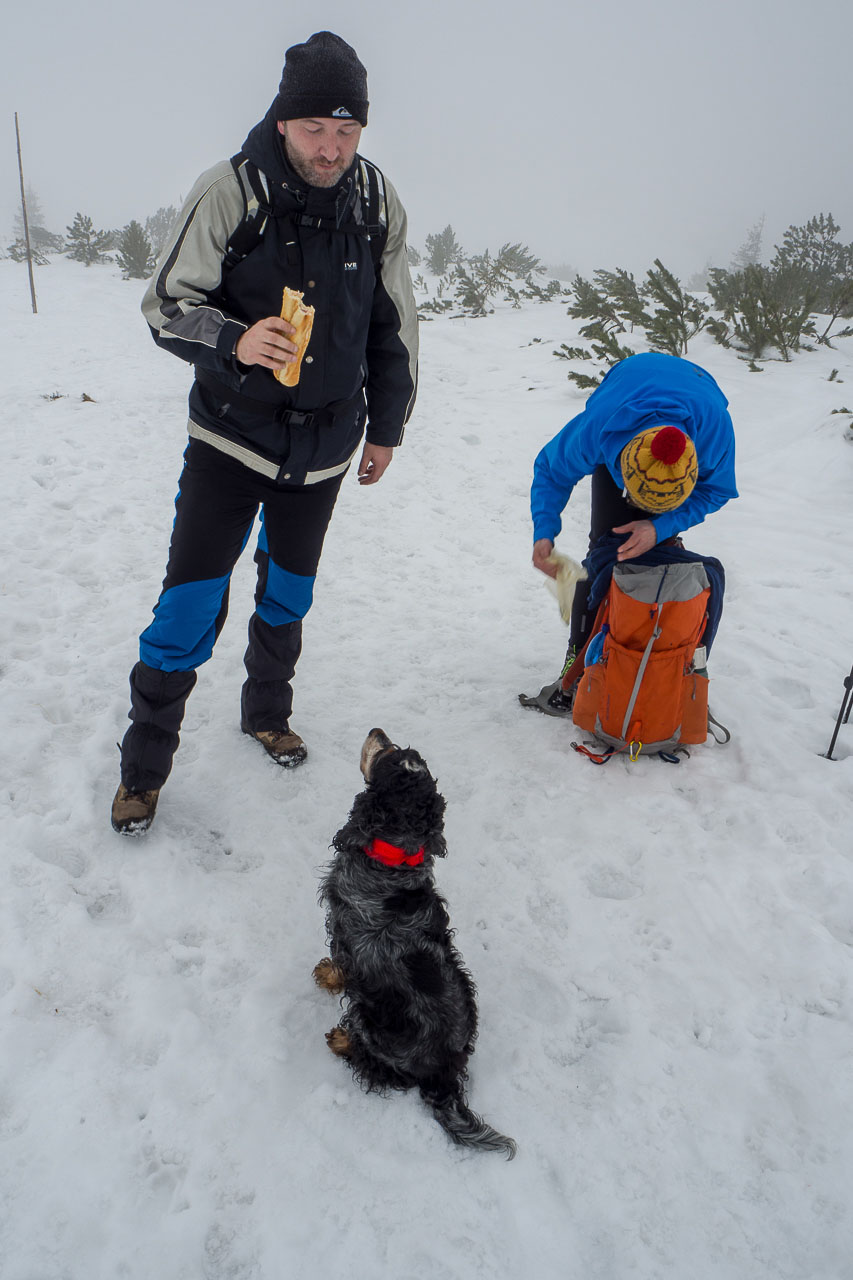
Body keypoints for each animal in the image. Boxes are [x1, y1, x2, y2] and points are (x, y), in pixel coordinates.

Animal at [312, 732, 512, 1162]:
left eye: (389, 757)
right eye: (405, 755)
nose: (378, 731)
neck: (394, 860)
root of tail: (444, 1073)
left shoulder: (343, 934)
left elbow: (339, 966)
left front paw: (326, 975)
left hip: (370, 1020)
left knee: (374, 1067)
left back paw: (341, 1041)